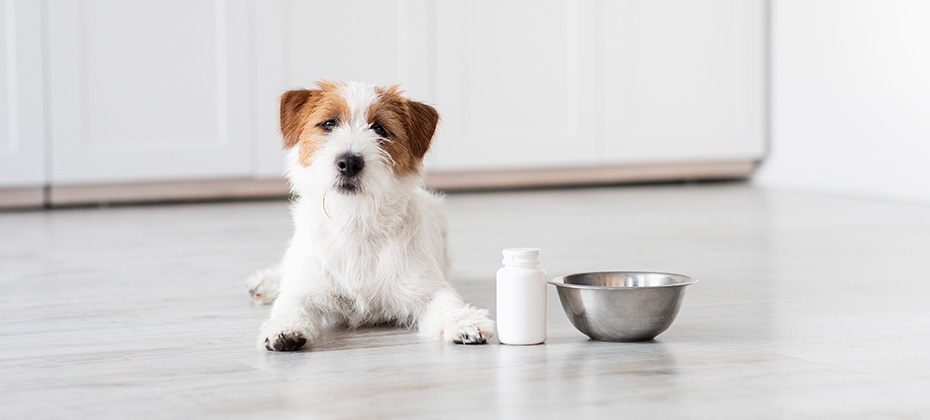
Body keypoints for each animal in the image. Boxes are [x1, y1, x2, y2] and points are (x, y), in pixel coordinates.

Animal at [245, 80, 492, 350]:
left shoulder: (424, 287)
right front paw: (284, 328)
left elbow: (446, 302)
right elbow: (290, 304)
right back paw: (267, 282)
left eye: (380, 129)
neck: (356, 219)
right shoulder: (305, 290)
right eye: (329, 124)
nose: (349, 162)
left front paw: (463, 321)